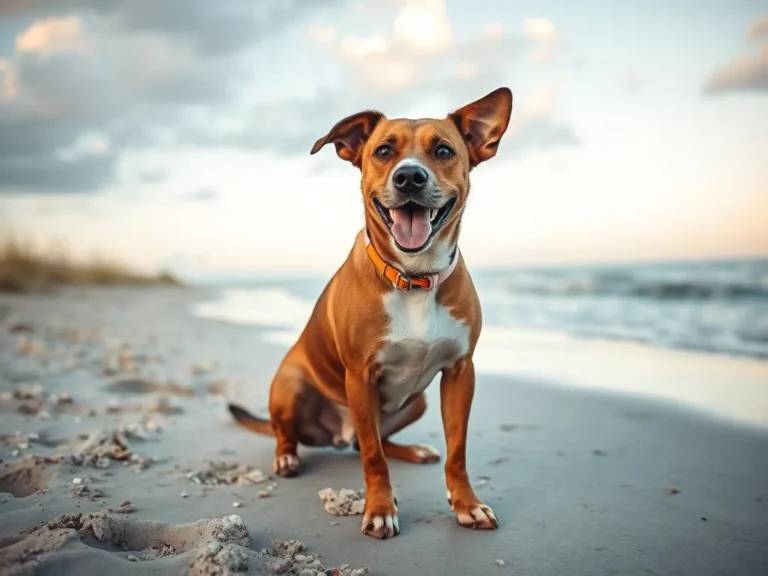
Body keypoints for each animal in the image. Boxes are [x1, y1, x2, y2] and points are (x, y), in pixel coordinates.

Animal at [228, 86, 516, 540]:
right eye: (383, 151)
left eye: (443, 150)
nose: (410, 177)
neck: (414, 278)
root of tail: (338, 435)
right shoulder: (360, 376)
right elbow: (373, 458)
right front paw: (380, 509)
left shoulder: (460, 372)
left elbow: (457, 451)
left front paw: (466, 504)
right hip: (291, 385)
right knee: (306, 436)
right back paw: (287, 457)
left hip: (416, 402)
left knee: (375, 440)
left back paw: (413, 450)